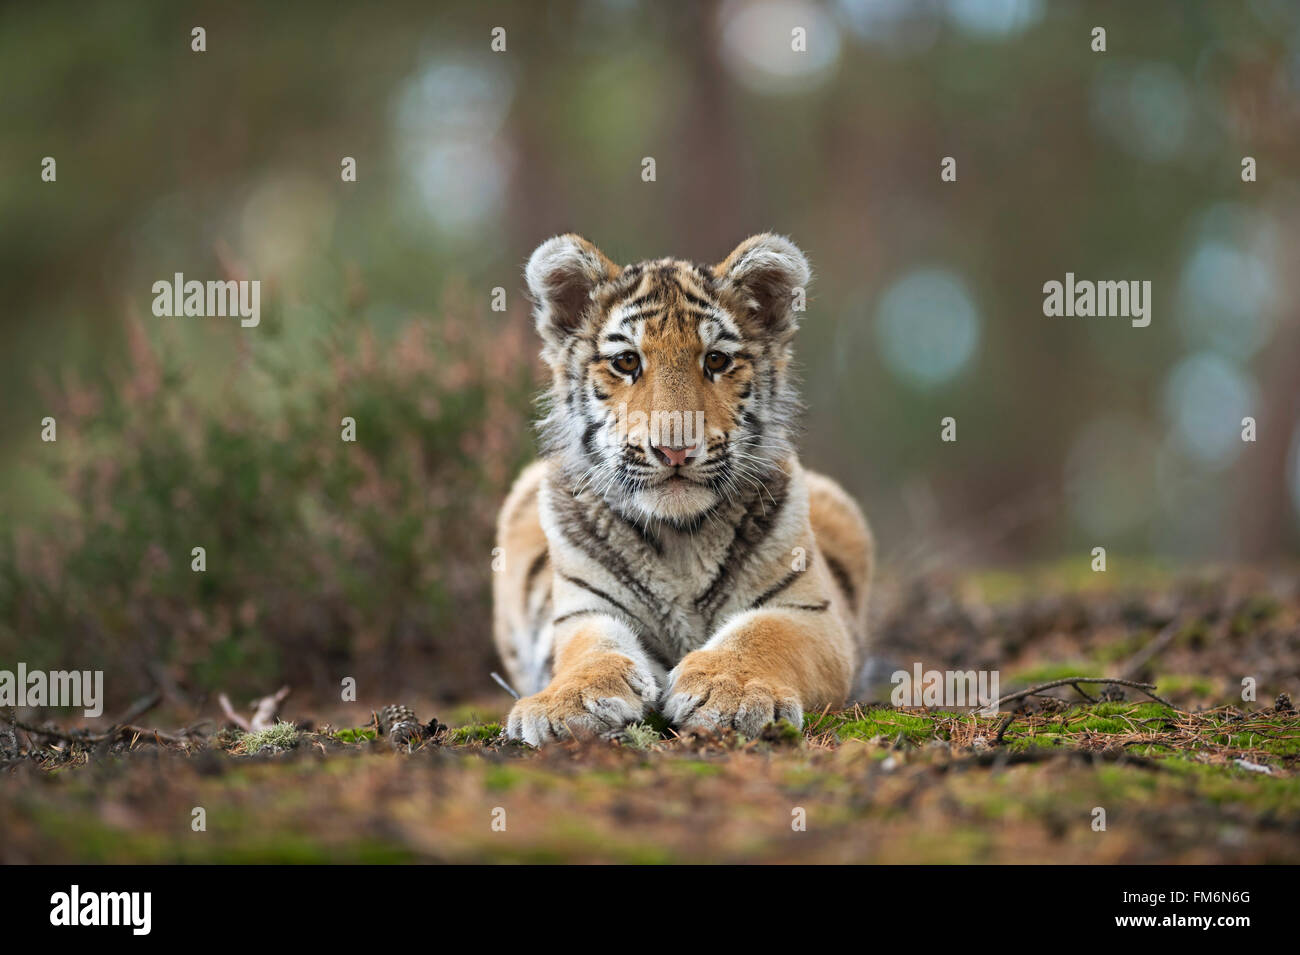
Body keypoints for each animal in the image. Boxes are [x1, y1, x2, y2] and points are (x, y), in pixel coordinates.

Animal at [493, 233, 874, 745]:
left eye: (715, 359)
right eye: (627, 361)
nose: (675, 450)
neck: (680, 540)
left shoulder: (810, 610)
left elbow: (761, 635)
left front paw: (728, 689)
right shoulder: (585, 611)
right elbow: (589, 651)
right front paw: (566, 702)